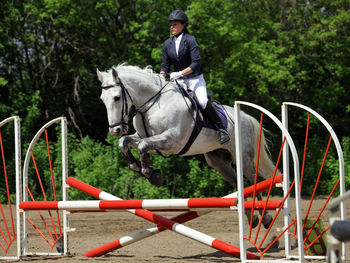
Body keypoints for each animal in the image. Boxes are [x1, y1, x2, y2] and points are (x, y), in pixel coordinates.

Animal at [97, 64, 278, 229]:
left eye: (117, 97)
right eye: (102, 99)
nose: (115, 130)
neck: (153, 104)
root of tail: (246, 117)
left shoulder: (172, 141)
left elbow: (142, 145)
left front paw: (150, 173)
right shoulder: (145, 138)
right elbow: (126, 142)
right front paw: (140, 168)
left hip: (244, 159)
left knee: (253, 180)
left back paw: (265, 218)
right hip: (218, 162)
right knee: (237, 182)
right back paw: (251, 218)